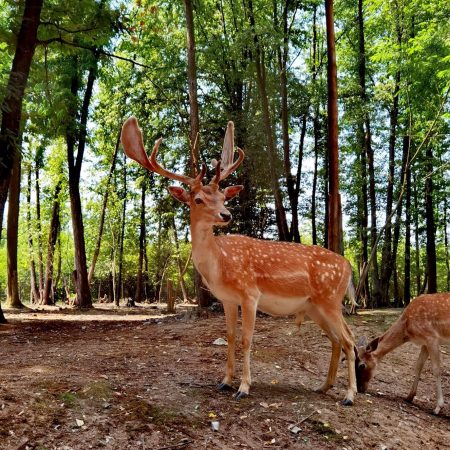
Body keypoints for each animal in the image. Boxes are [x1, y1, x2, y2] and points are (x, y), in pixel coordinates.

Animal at [120, 118, 358, 406]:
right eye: (198, 199)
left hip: (330, 300)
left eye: (224, 198)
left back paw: (349, 395)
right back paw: (323, 386)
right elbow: (230, 337)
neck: (220, 265)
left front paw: (244, 387)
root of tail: (349, 266)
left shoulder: (250, 294)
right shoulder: (227, 299)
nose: (226, 215)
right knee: (337, 340)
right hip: (315, 307)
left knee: (349, 339)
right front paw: (225, 381)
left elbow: (246, 339)